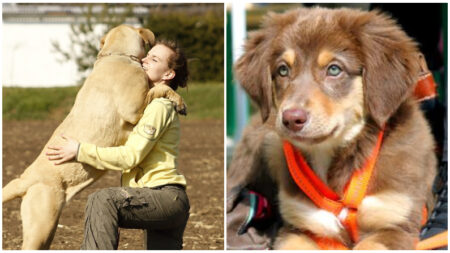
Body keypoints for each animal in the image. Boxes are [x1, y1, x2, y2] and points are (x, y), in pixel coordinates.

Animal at [2, 24, 185, 250]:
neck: (117, 55)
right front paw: (179, 101)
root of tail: (24, 179)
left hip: (47, 228)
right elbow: (161, 87)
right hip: (41, 227)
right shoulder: (135, 109)